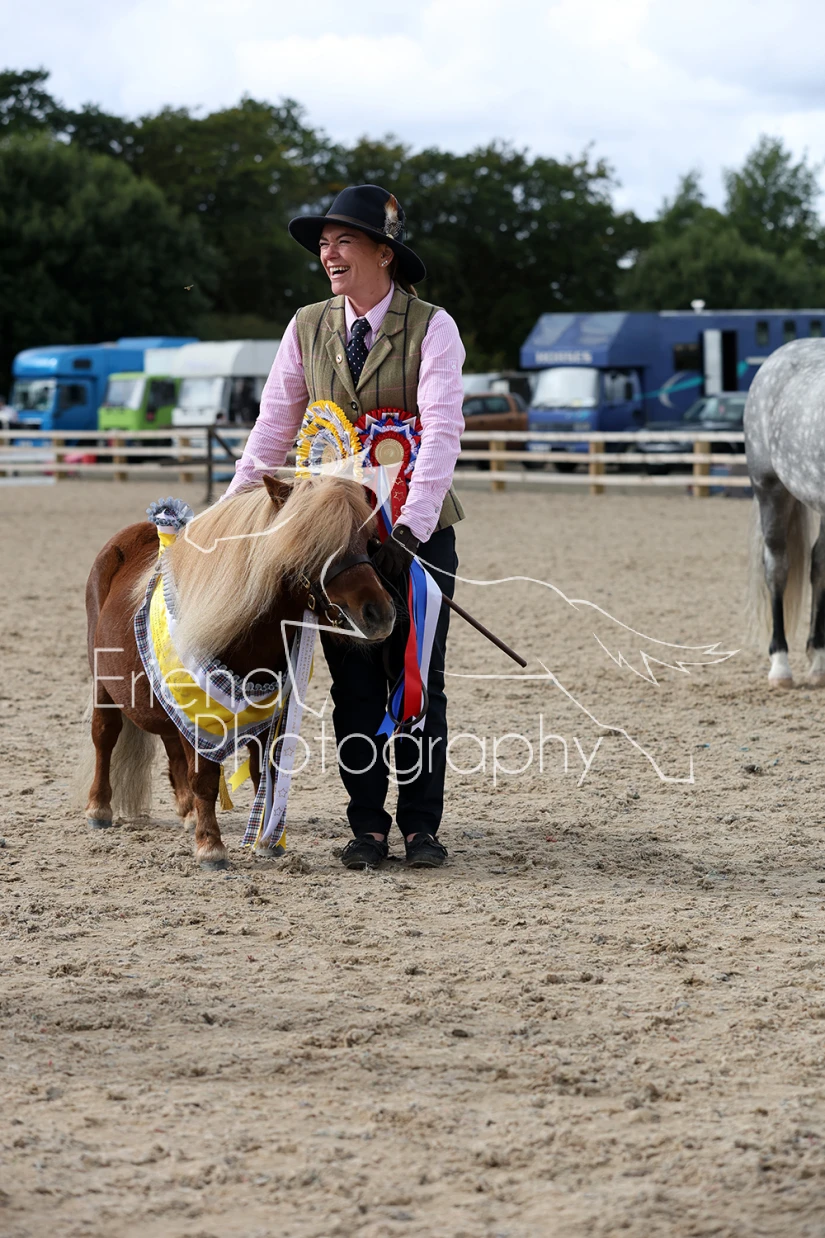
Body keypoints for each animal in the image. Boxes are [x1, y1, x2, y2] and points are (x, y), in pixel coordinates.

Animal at [82, 474, 395, 867]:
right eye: (312, 544)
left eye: (369, 541)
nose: (379, 614)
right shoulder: (198, 713)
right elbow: (204, 778)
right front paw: (210, 846)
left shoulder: (263, 715)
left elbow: (263, 773)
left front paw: (268, 841)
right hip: (103, 684)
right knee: (104, 735)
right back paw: (99, 808)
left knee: (169, 742)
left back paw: (186, 811)